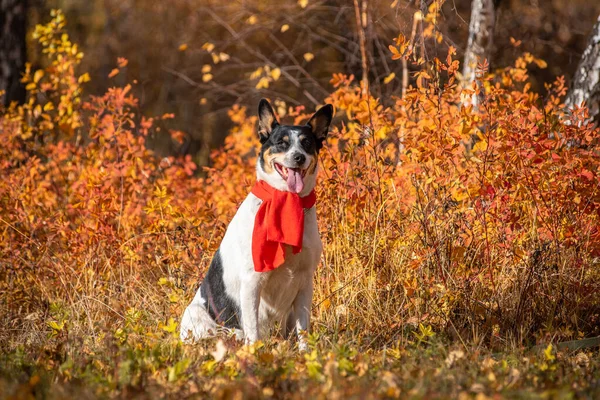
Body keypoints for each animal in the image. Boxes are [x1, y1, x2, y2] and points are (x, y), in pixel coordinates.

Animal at [180, 98, 336, 348]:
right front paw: (256, 354)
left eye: (307, 143)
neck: (286, 201)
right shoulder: (252, 282)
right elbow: (253, 330)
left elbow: (303, 329)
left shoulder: (305, 282)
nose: (299, 157)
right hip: (200, 319)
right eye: (281, 143)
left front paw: (306, 353)